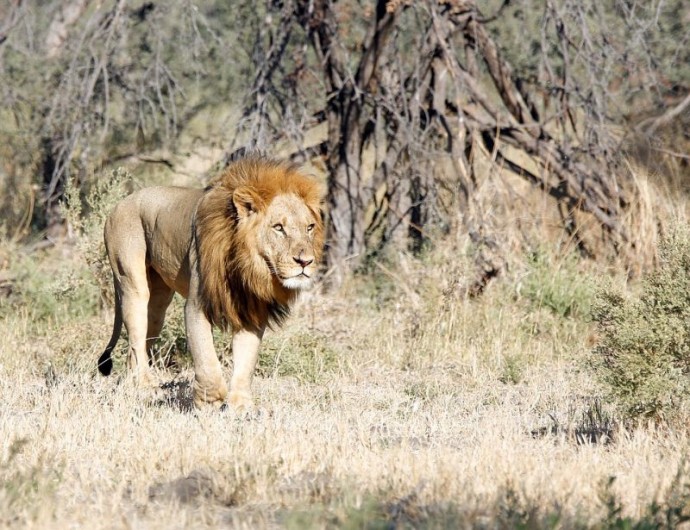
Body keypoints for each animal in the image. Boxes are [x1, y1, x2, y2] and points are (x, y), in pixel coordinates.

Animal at [97, 155, 326, 410]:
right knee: (136, 339)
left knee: (138, 346)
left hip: (157, 306)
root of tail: (121, 202)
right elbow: (206, 356)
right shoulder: (197, 306)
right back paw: (147, 387)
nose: (305, 261)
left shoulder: (251, 311)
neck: (246, 265)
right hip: (131, 283)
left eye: (309, 227)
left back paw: (133, 389)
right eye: (278, 227)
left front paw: (241, 407)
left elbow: (246, 362)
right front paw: (211, 400)